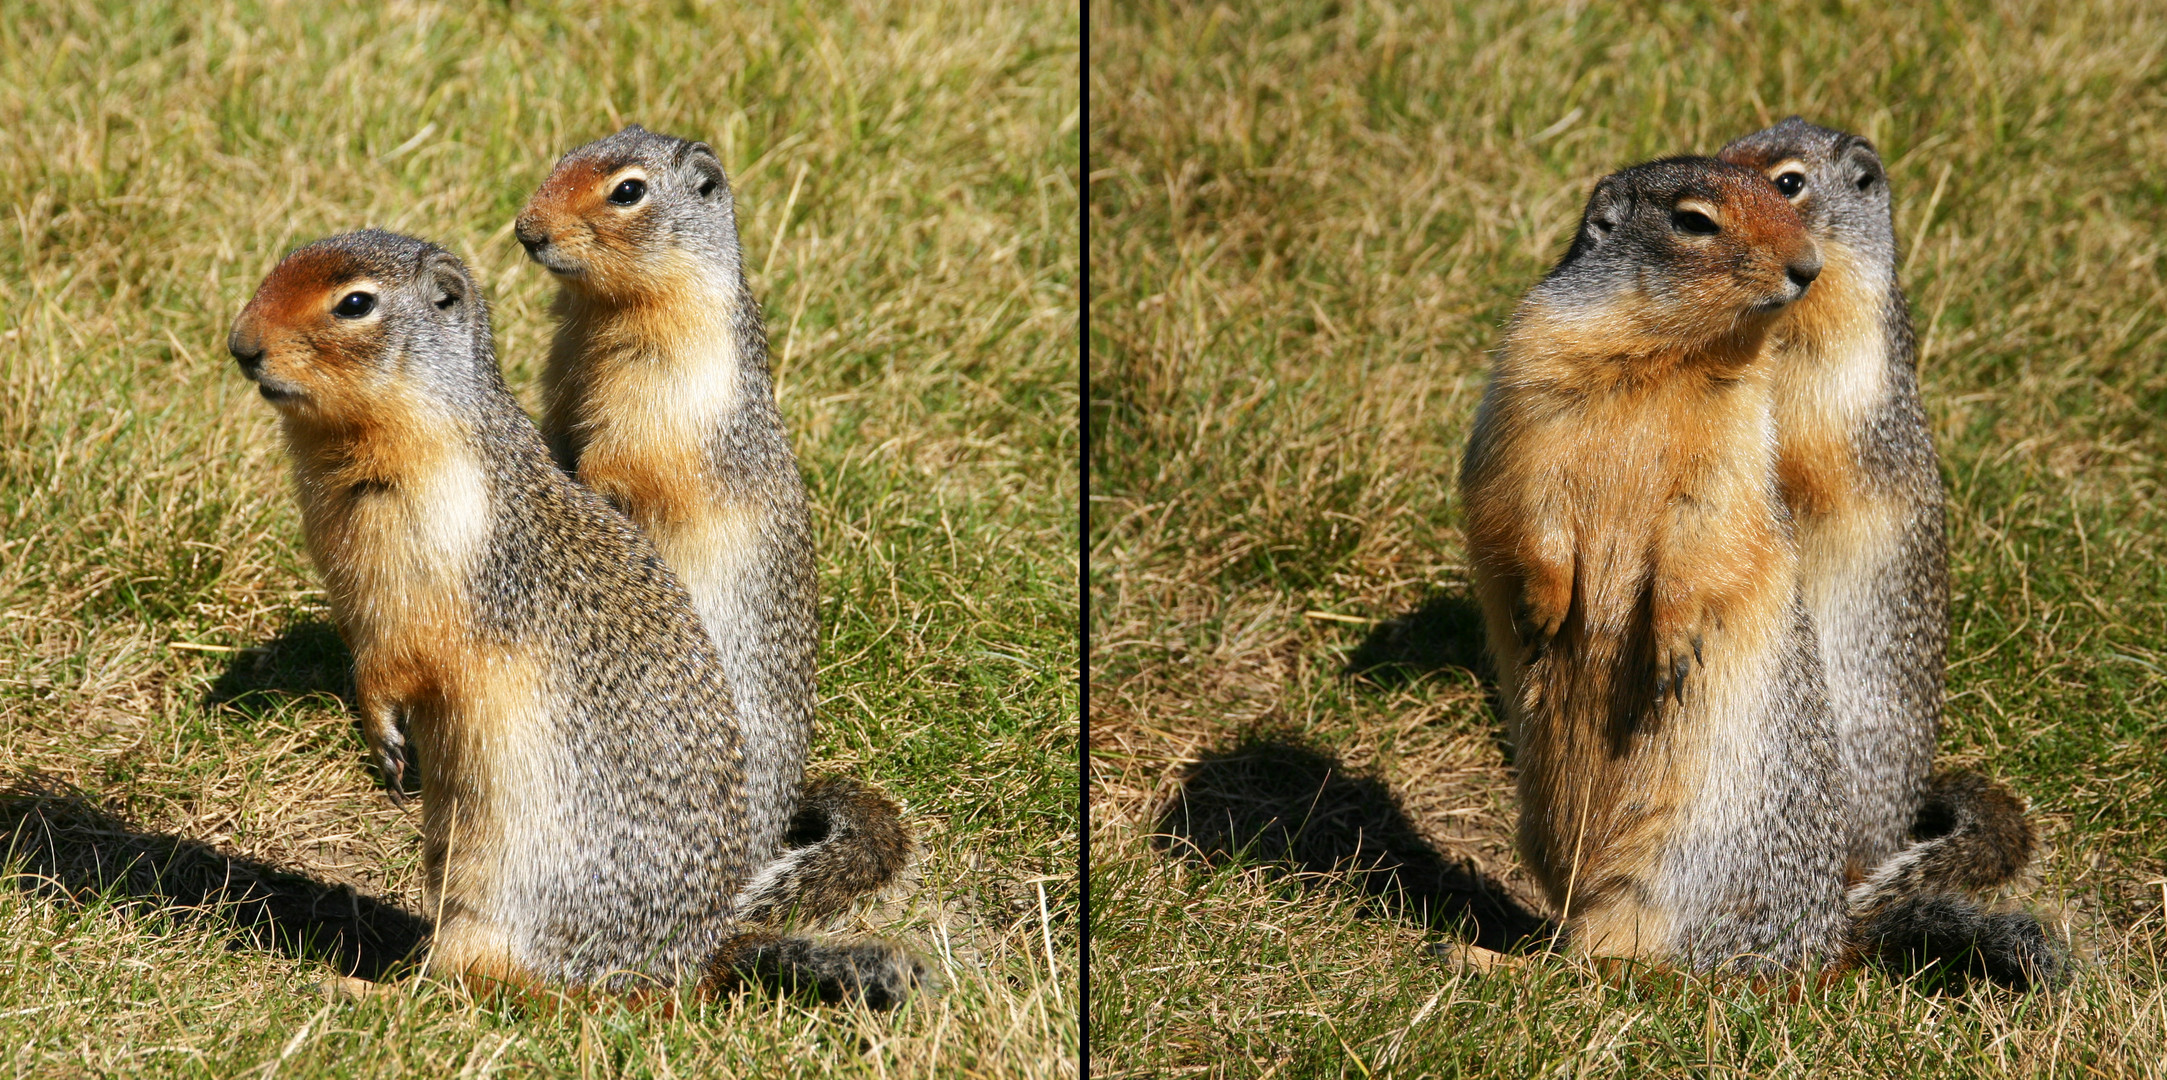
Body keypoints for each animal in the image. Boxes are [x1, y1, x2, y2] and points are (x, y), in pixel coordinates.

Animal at [230, 229, 931, 1001]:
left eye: (355, 304)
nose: (241, 346)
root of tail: (694, 959)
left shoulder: (433, 564)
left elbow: (403, 654)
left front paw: (381, 732)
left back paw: (365, 988)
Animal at [1464, 158, 2054, 988]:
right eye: (1694, 220)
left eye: (1782, 193)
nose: (1805, 268)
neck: (1669, 361)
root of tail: (1826, 943)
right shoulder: (1530, 382)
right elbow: (1528, 503)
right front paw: (1543, 612)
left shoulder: (1736, 445)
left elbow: (1707, 536)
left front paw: (1671, 646)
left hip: (1666, 879)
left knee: (1611, 970)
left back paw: (1492, 959)